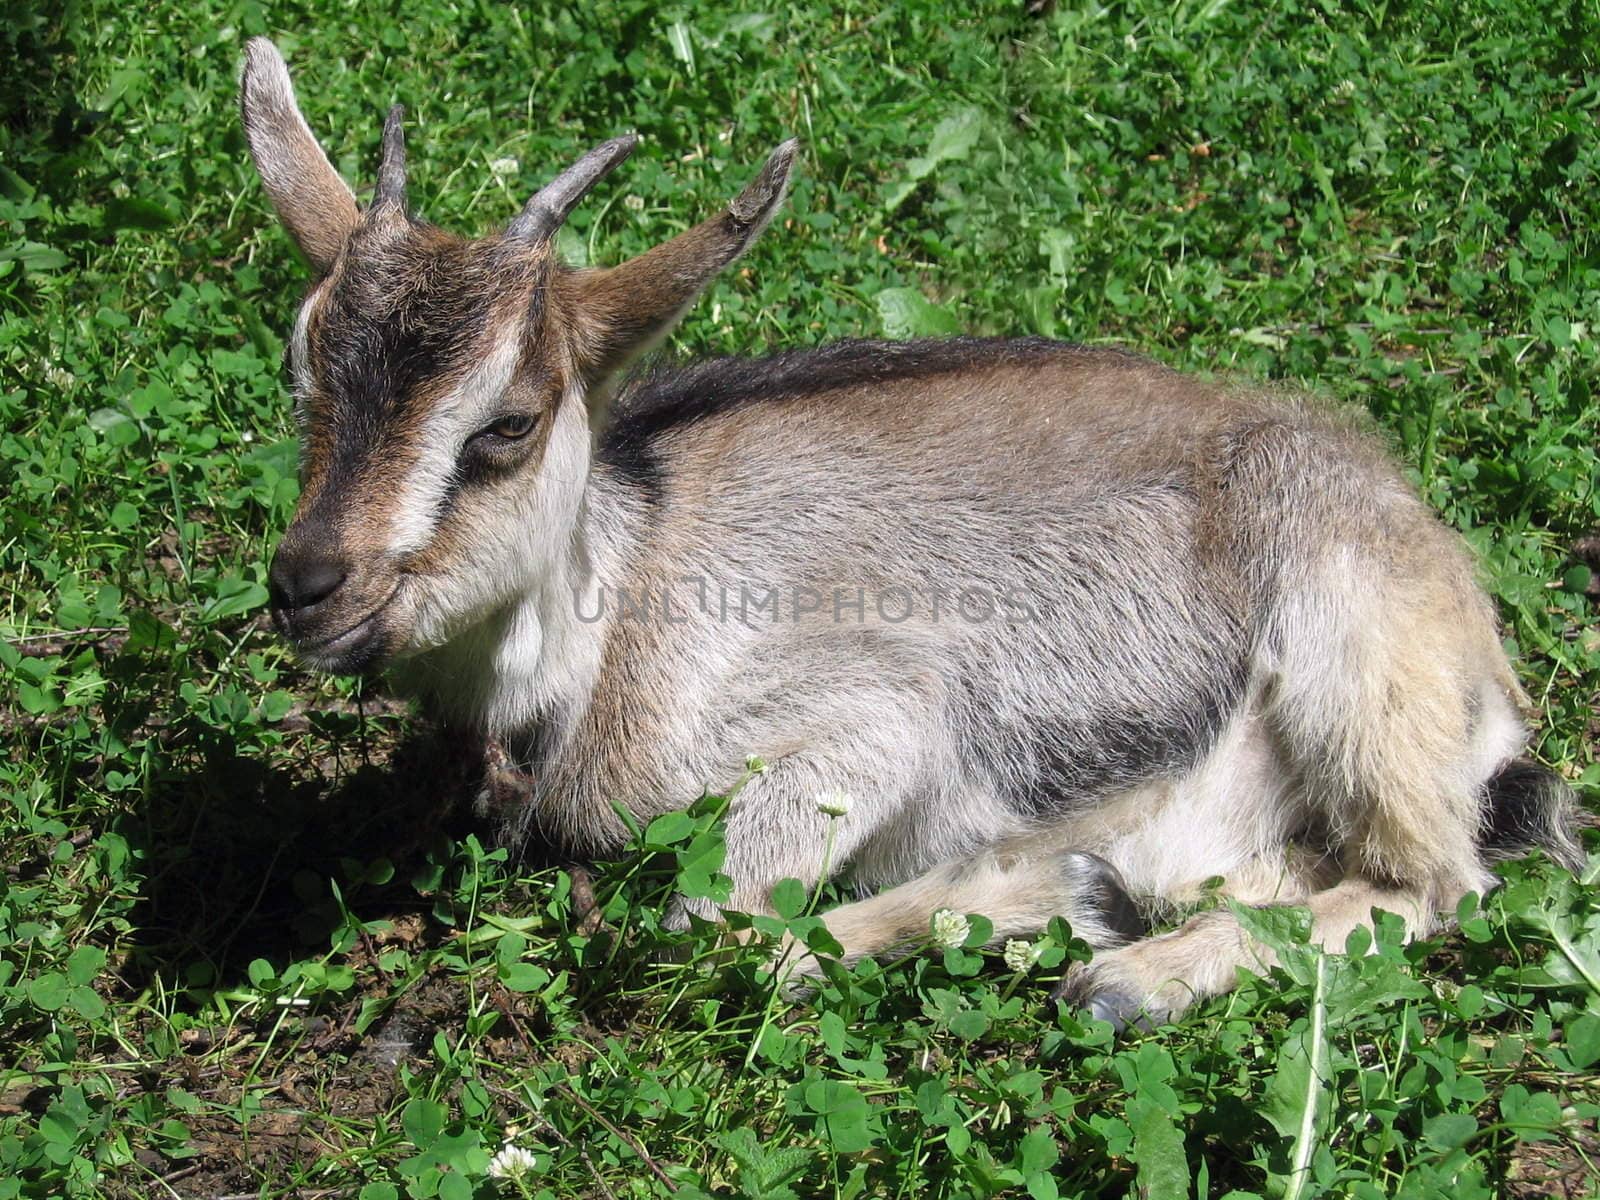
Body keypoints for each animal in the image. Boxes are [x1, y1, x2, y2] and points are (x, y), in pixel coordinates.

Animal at [243, 42, 1580, 1030]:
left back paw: (1127, 976)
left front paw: (1051, 893)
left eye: (508, 423)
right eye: (304, 369)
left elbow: (710, 935)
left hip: (1354, 667)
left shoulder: (868, 720)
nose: (310, 586)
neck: (619, 609)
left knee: (1436, 884)